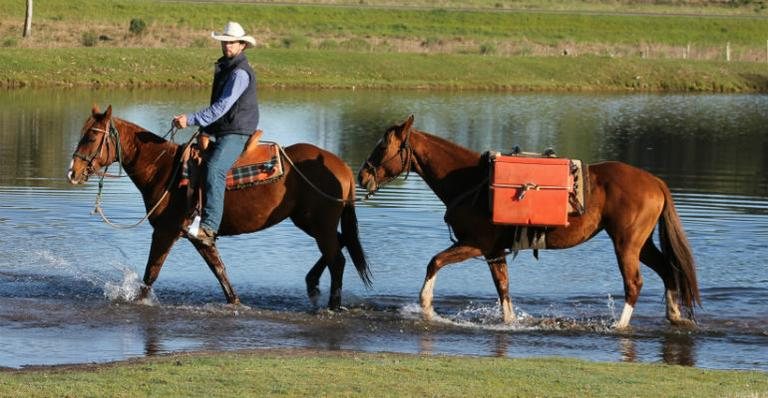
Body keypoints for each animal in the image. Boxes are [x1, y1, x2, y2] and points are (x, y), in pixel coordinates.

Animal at [66, 105, 372, 308]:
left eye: (91, 137)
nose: (72, 172)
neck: (165, 170)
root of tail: (342, 166)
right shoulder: (200, 237)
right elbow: (220, 272)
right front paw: (235, 302)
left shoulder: (165, 231)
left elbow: (151, 274)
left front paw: (138, 301)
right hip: (308, 222)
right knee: (341, 243)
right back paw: (312, 284)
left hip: (319, 224)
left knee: (337, 258)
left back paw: (332, 305)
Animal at [356, 116, 700, 328]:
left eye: (383, 146)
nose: (362, 176)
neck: (473, 181)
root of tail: (655, 181)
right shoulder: (494, 252)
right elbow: (503, 288)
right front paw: (509, 322)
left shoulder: (477, 244)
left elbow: (435, 262)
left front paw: (426, 306)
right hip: (641, 243)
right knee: (668, 270)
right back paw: (674, 314)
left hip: (626, 243)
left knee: (634, 283)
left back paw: (619, 325)